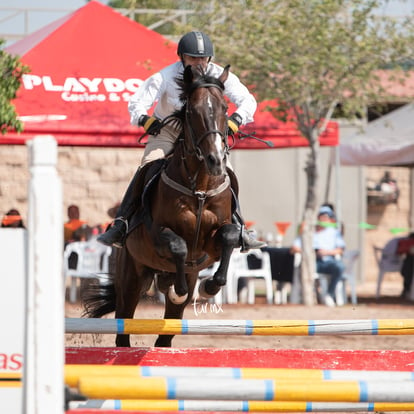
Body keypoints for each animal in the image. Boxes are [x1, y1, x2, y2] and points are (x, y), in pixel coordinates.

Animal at [82, 64, 241, 348]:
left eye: (225, 108)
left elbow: (230, 237)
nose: (215, 160)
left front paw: (209, 286)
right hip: (130, 279)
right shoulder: (156, 235)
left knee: (164, 338)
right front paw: (179, 290)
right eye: (191, 111)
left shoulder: (211, 244)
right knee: (124, 328)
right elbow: (178, 246)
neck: (199, 186)